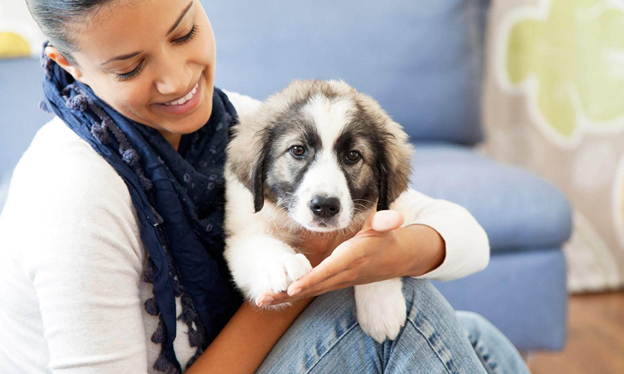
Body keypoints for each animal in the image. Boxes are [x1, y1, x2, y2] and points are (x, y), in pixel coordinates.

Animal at [223, 79, 414, 342]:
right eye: (298, 150)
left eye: (352, 155)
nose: (324, 206)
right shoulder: (242, 230)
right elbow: (258, 244)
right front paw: (282, 262)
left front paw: (381, 307)